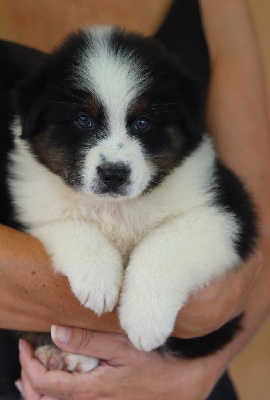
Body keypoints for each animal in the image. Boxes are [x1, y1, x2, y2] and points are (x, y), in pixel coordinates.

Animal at [8, 27, 256, 372]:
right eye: (83, 120)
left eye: (142, 122)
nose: (113, 174)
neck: (117, 208)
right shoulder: (34, 207)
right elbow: (71, 222)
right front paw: (97, 280)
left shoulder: (227, 213)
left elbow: (164, 244)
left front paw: (145, 319)